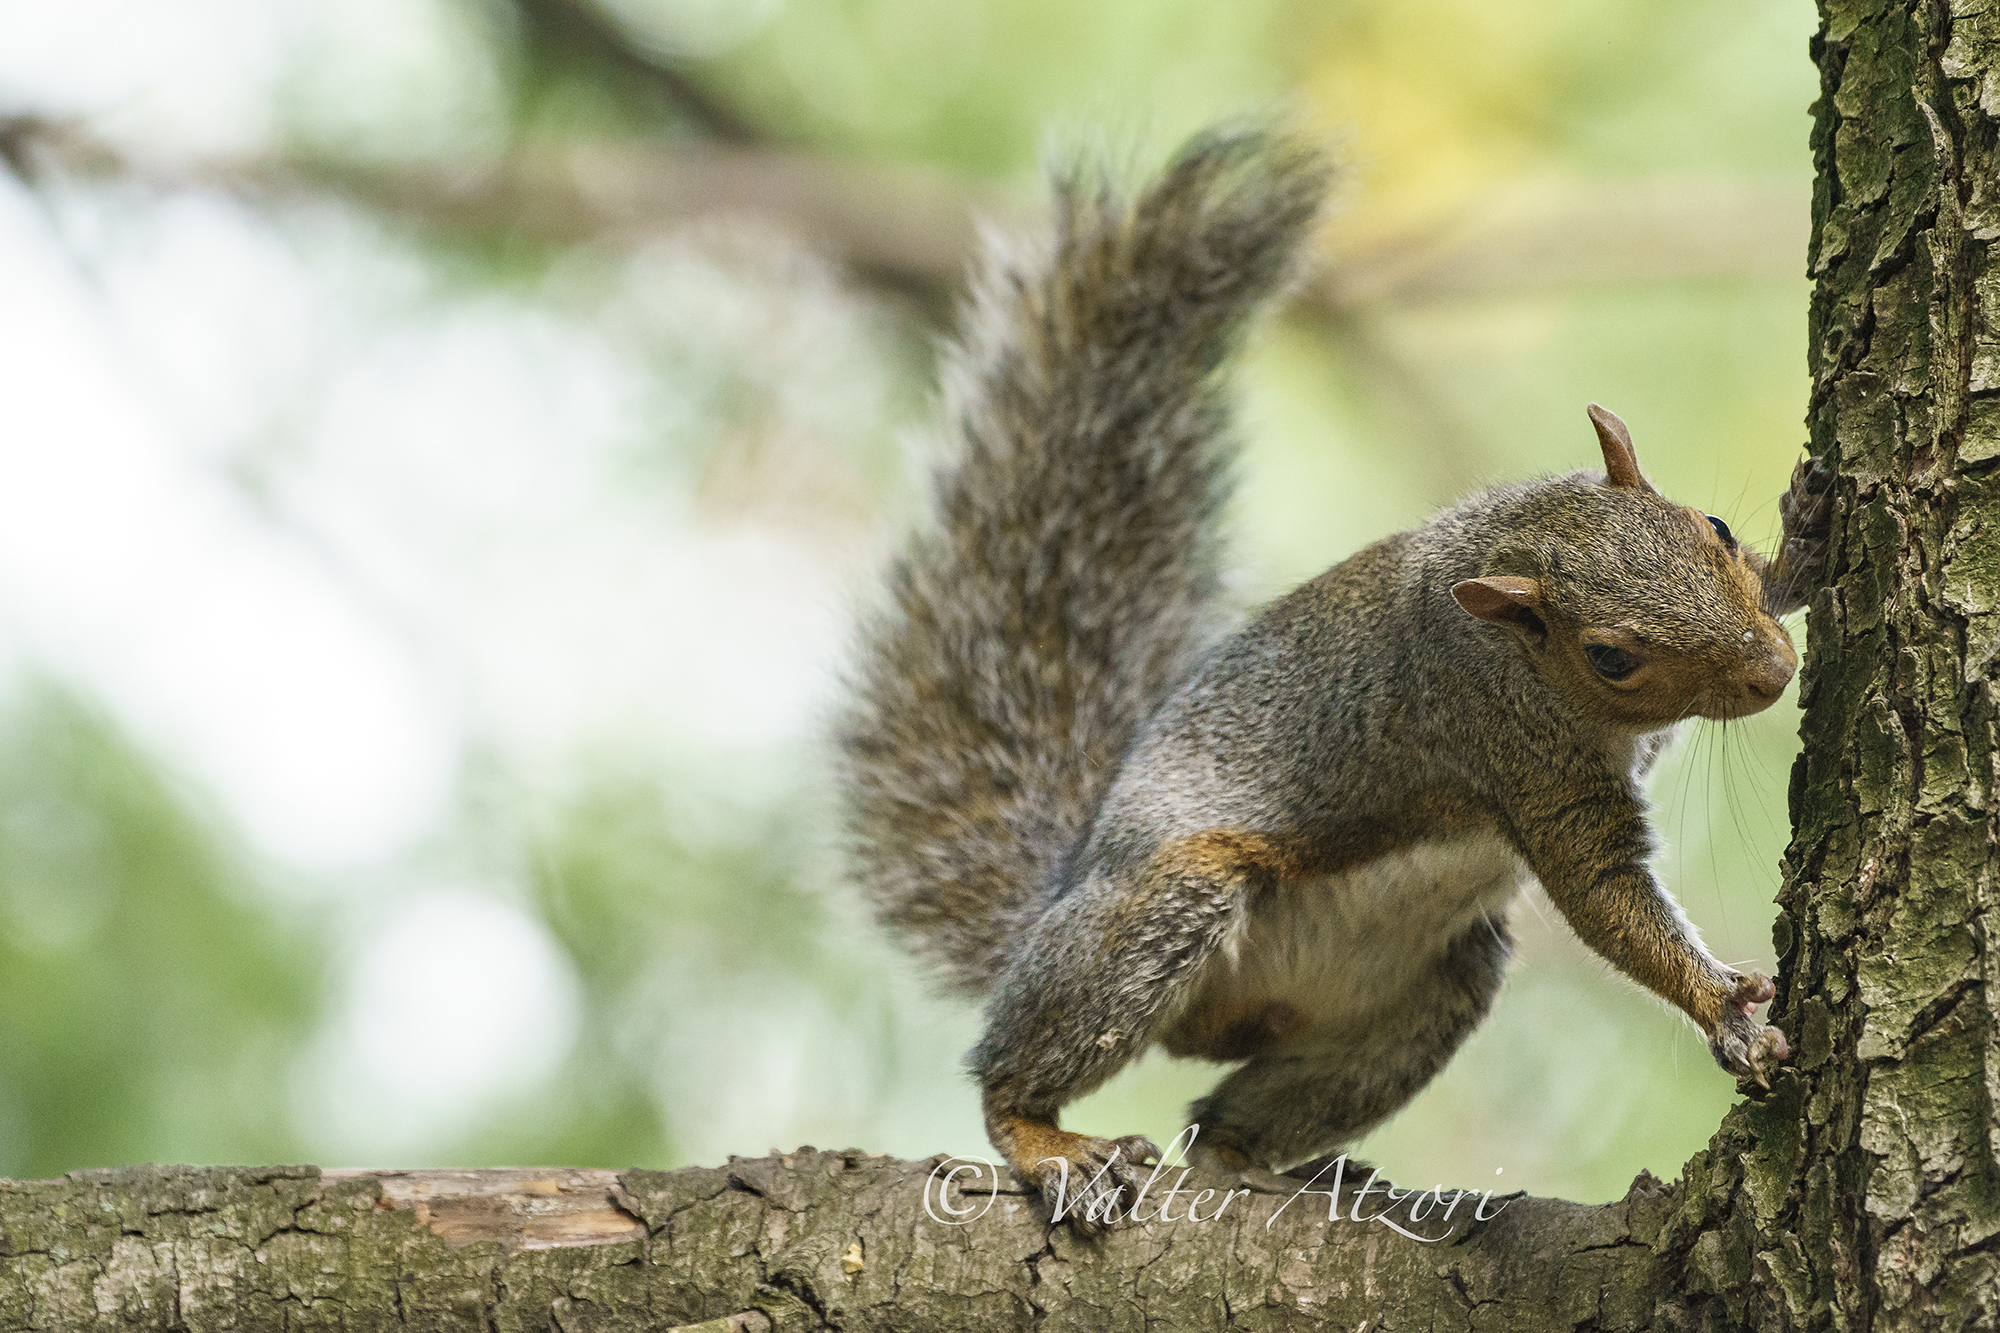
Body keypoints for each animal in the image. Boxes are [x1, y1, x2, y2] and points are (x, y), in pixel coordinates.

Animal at [836, 126, 1834, 1231]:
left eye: (1714, 527)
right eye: (1609, 656)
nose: (1772, 670)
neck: (1504, 558)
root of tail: (1065, 887)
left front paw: (1801, 544)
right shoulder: (1509, 746)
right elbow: (1598, 887)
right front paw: (1724, 1010)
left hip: (1420, 993)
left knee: (1217, 1125)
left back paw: (1276, 1164)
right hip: (1155, 912)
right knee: (1015, 1067)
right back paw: (1047, 1142)